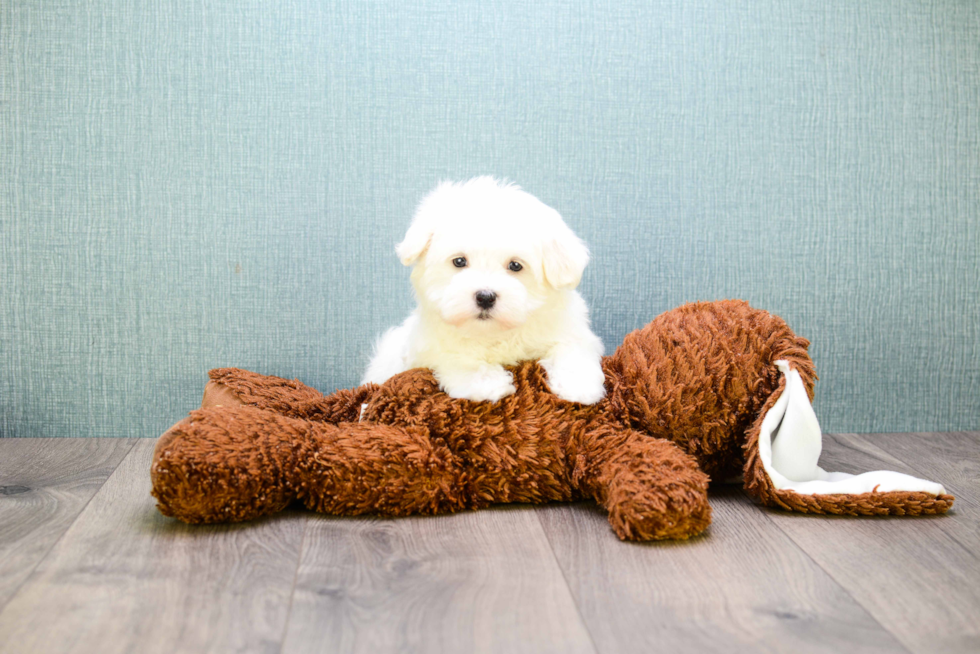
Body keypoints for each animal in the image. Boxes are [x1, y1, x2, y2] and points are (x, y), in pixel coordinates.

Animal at [360, 179, 604, 404]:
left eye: (515, 265)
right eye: (459, 261)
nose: (485, 297)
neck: (494, 334)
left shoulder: (568, 328)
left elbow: (572, 348)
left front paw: (579, 386)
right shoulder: (429, 345)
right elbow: (458, 356)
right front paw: (487, 383)